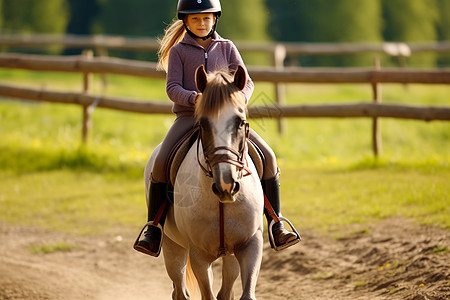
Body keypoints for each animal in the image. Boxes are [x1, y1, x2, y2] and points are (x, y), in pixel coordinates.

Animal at [144, 66, 264, 300]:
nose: (226, 185)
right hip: (173, 247)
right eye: (203, 124)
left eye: (240, 122)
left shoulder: (250, 244)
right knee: (180, 291)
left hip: (229, 255)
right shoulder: (198, 255)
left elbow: (243, 294)